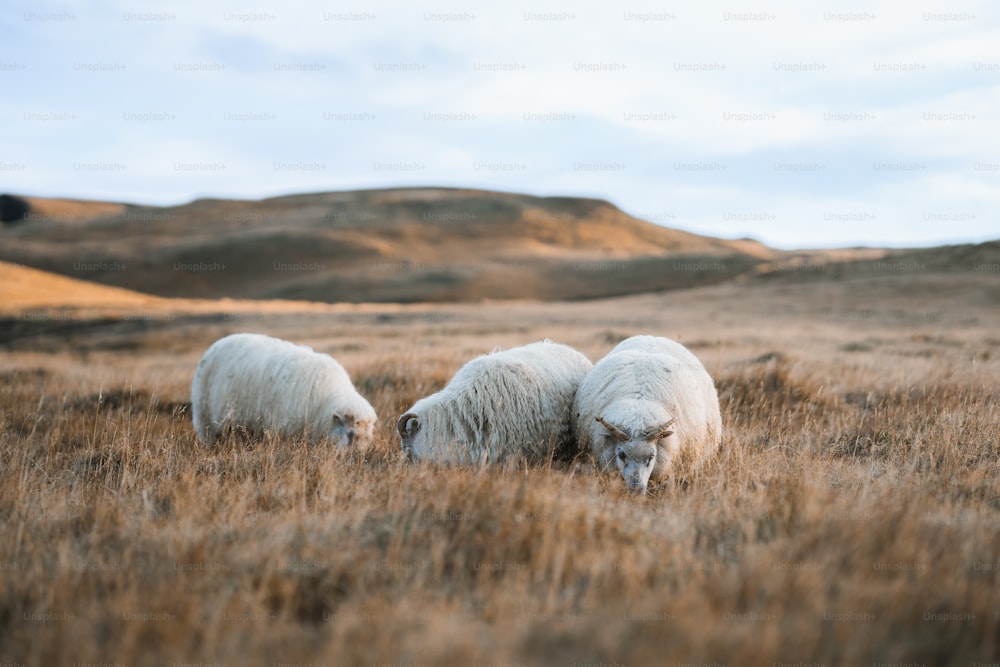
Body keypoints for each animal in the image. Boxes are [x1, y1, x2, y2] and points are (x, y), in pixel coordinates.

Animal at [189, 334, 376, 448]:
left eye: (369, 437)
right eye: (350, 434)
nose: (358, 458)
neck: (324, 403)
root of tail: (218, 343)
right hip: (205, 418)